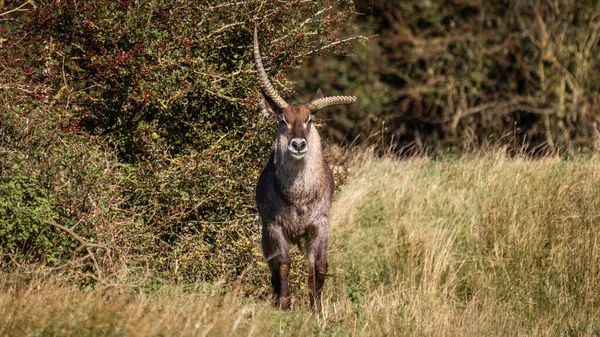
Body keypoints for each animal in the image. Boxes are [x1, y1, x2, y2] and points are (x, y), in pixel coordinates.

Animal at [253, 28, 356, 310]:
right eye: (282, 120)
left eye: (309, 120)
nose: (298, 144)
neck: (299, 196)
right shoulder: (275, 225)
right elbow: (283, 264)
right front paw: (284, 304)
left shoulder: (320, 223)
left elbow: (319, 266)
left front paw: (317, 309)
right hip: (266, 232)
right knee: (272, 266)